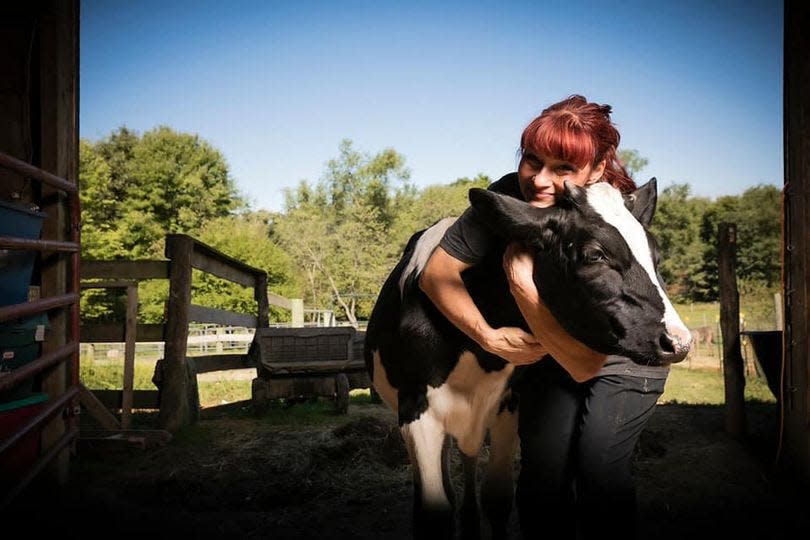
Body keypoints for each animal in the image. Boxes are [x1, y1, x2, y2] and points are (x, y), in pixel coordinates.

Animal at [364, 178, 688, 540]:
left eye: (656, 257)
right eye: (596, 255)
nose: (678, 341)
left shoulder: (510, 404)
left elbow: (498, 497)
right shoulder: (416, 409)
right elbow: (434, 512)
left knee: (469, 460)